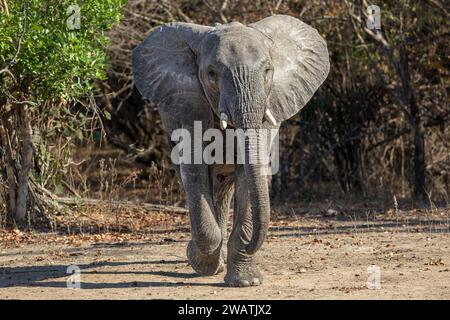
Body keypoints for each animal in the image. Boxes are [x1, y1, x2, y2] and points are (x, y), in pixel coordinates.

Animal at [132, 14, 328, 288]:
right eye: (211, 74)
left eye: (268, 71)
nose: (252, 244)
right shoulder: (188, 107)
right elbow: (194, 170)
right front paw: (199, 260)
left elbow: (249, 173)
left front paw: (246, 281)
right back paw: (214, 260)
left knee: (224, 185)